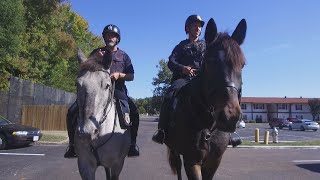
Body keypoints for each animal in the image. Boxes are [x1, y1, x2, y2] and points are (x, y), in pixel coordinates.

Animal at [164, 17, 246, 179]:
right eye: (209, 62)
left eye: (243, 64)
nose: (230, 117)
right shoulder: (191, 161)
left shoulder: (214, 161)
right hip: (175, 150)